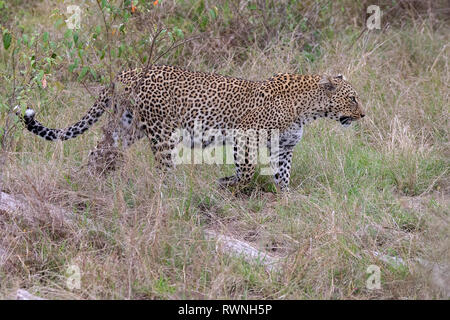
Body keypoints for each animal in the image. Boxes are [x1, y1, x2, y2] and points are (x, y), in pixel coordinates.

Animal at [14, 63, 366, 191]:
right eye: (353, 98)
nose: (364, 115)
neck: (308, 110)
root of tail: (126, 72)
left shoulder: (285, 148)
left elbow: (283, 176)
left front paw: (286, 198)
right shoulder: (245, 136)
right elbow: (247, 171)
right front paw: (231, 186)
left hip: (126, 127)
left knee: (98, 153)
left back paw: (89, 180)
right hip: (161, 132)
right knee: (162, 169)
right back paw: (172, 191)